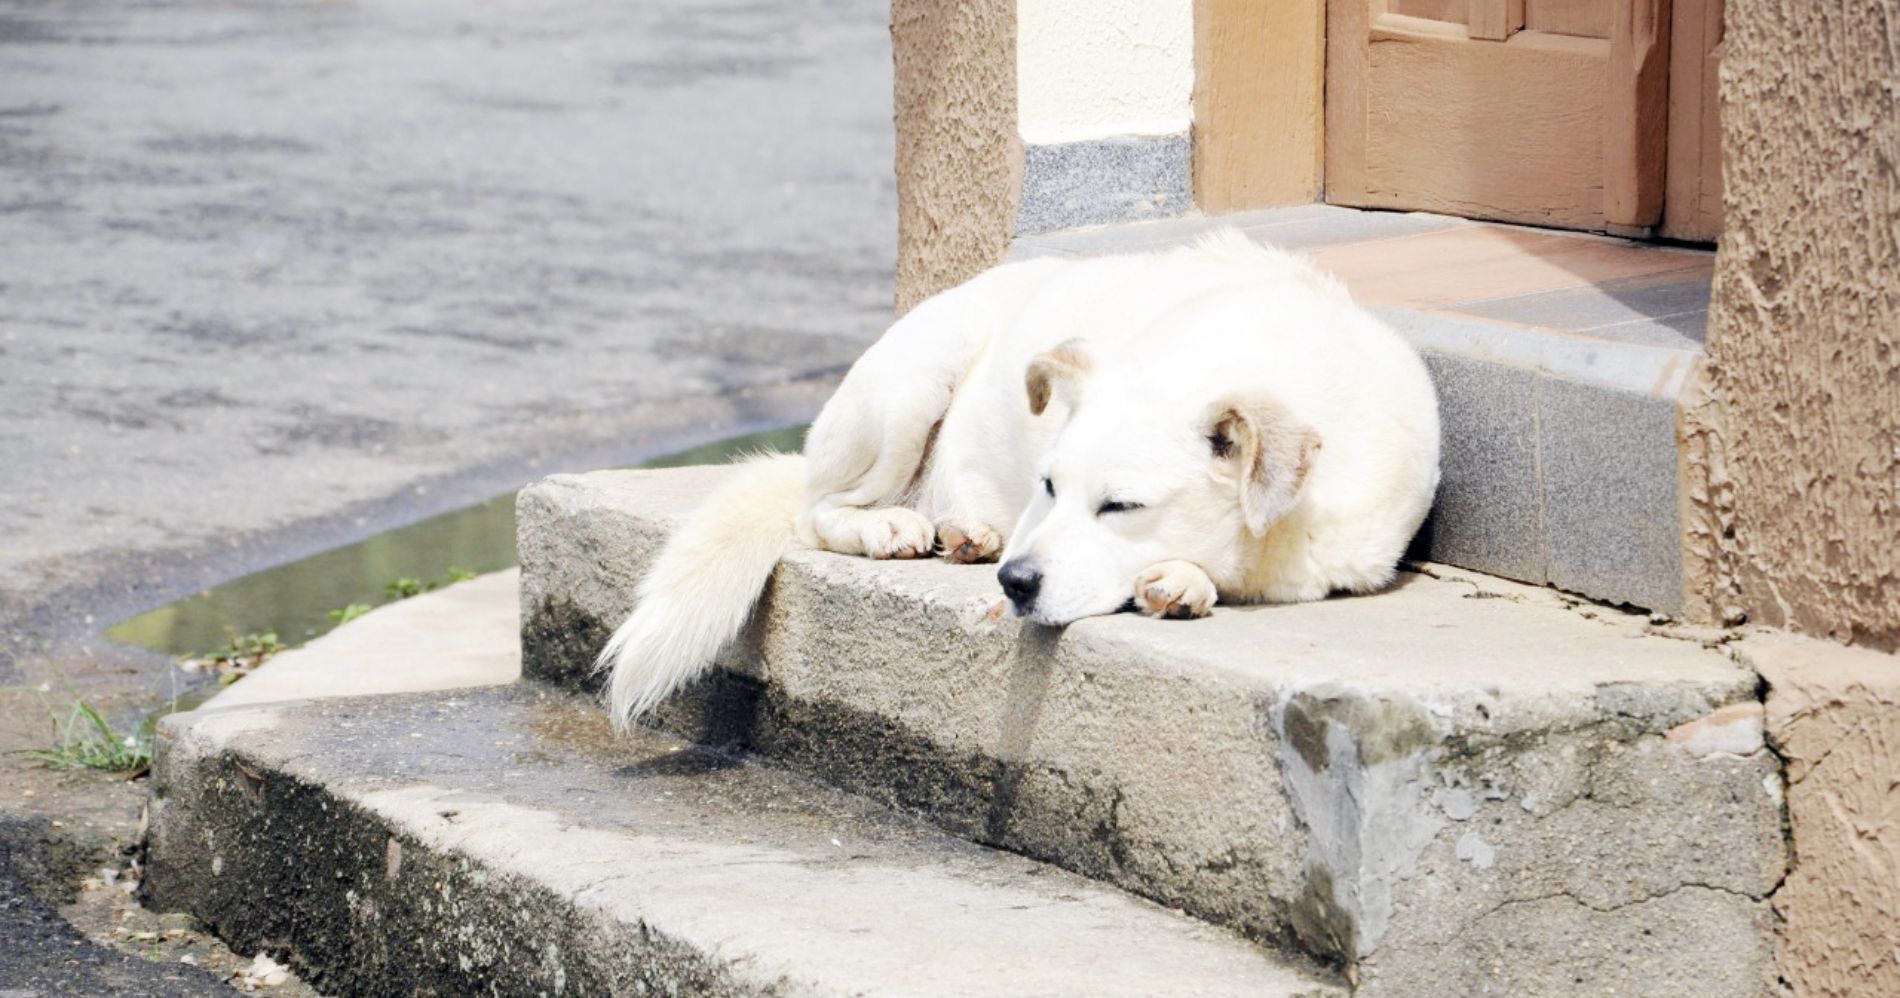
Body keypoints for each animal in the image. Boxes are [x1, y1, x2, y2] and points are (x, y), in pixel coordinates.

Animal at [600, 233, 1428, 726]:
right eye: (1049, 485)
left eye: (1121, 505)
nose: (1015, 583)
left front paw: (1185, 579)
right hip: (912, 379)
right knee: (817, 510)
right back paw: (897, 525)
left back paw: (966, 531)